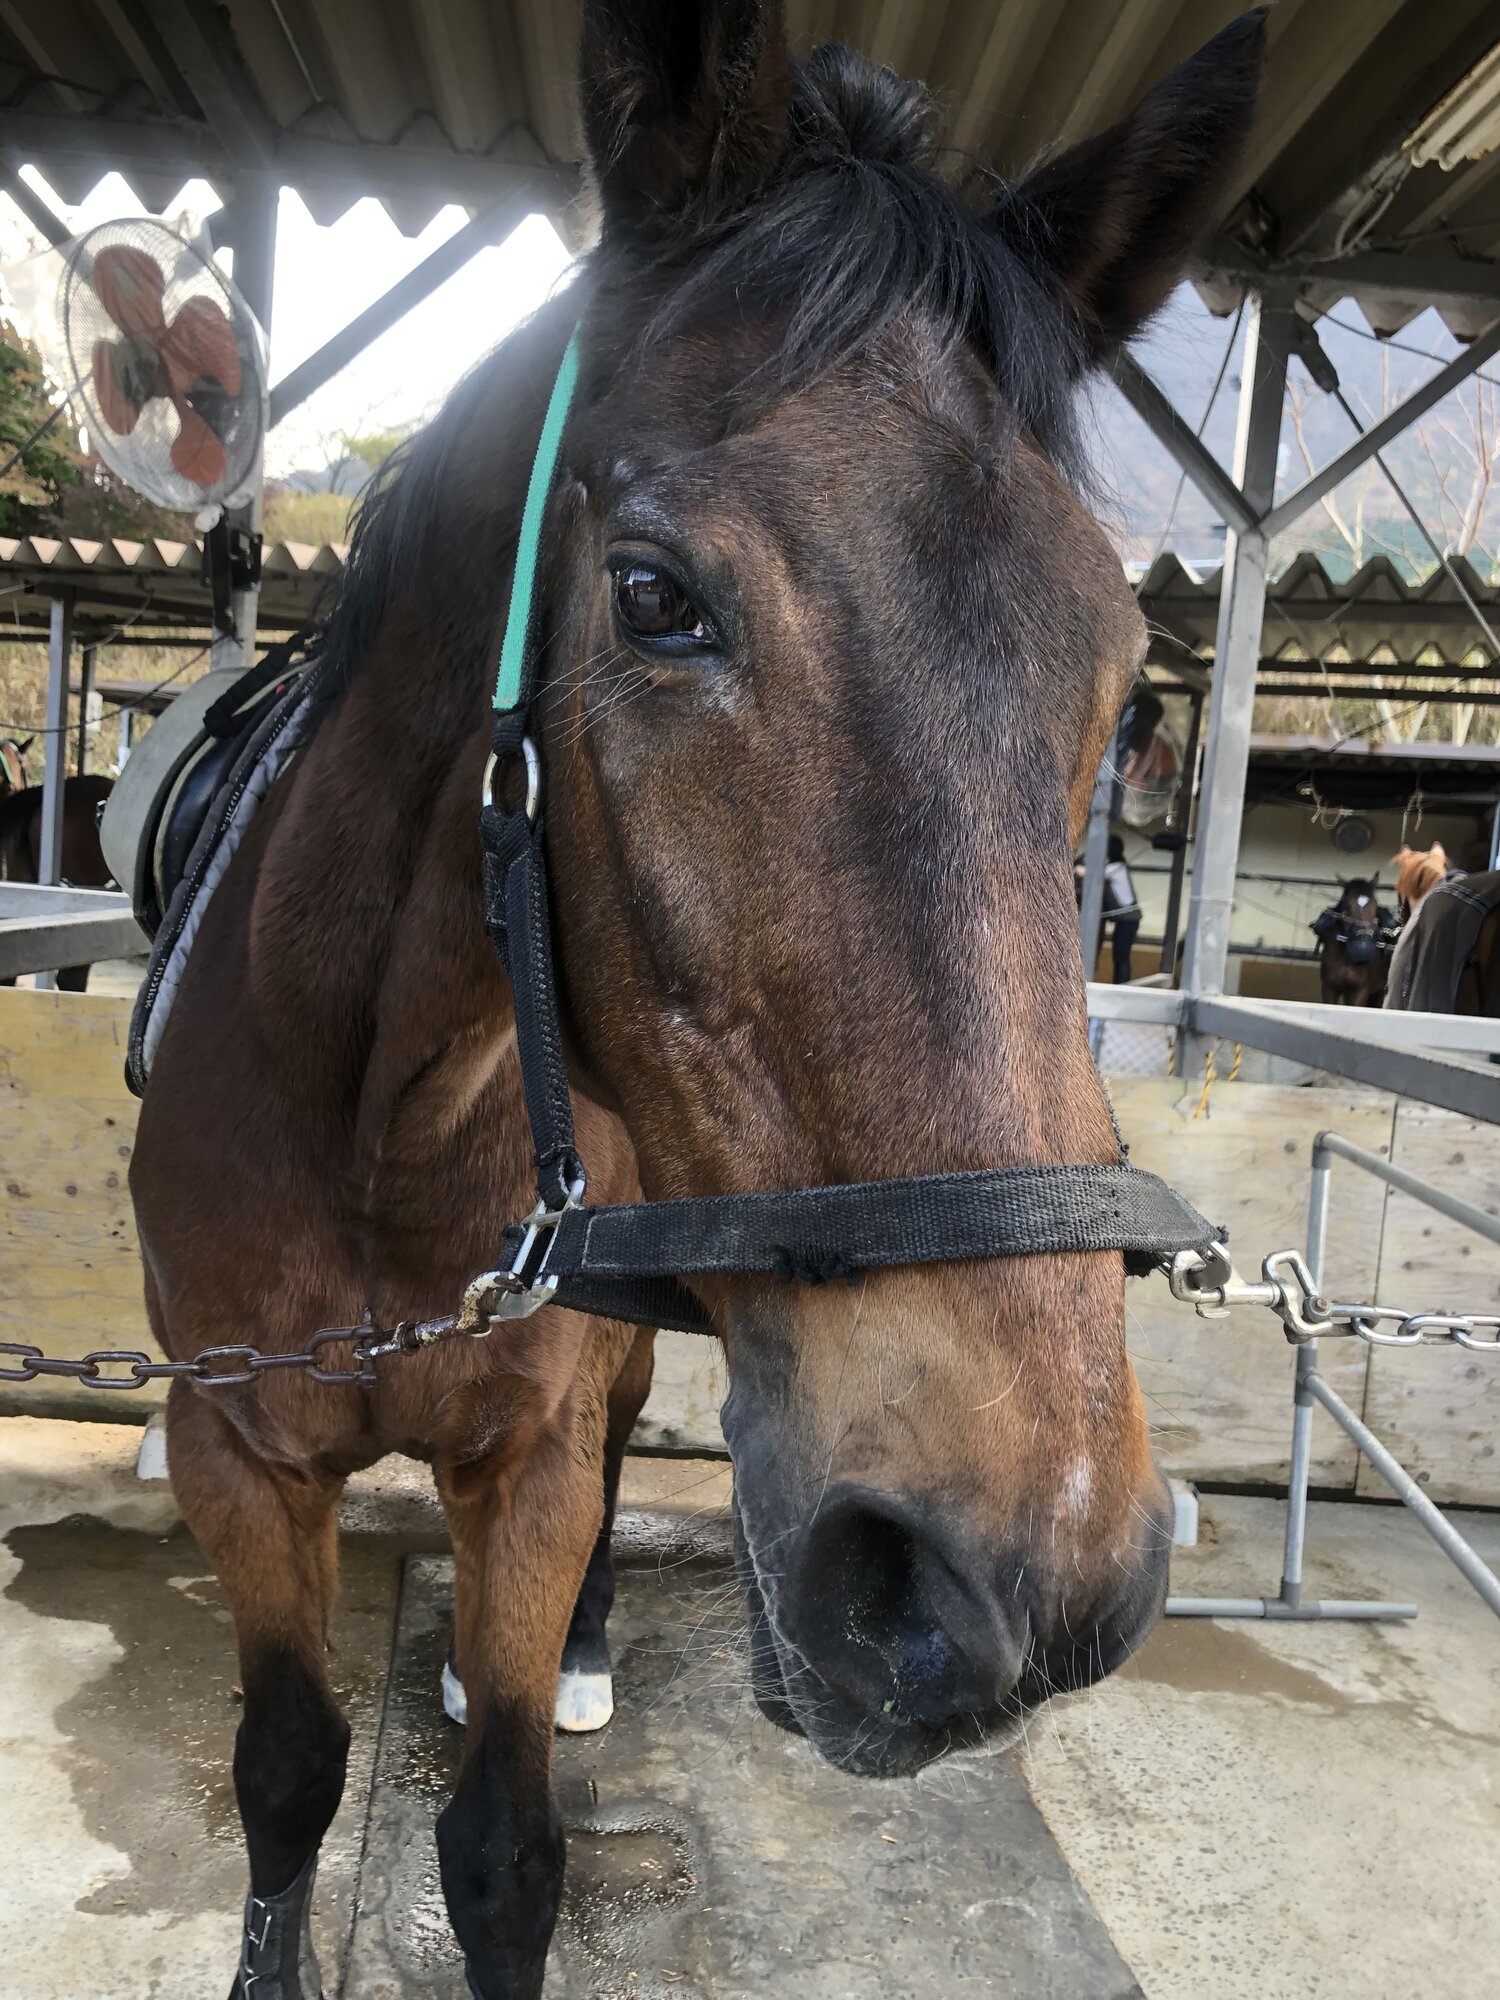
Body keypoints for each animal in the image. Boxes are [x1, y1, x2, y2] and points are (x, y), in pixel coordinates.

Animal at [126, 7, 1267, 1995]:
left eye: (1125, 669)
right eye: (656, 598)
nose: (1021, 1572)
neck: (371, 1113)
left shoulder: (528, 1451)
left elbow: (503, 1850)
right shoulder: (234, 1444)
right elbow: (286, 1775)